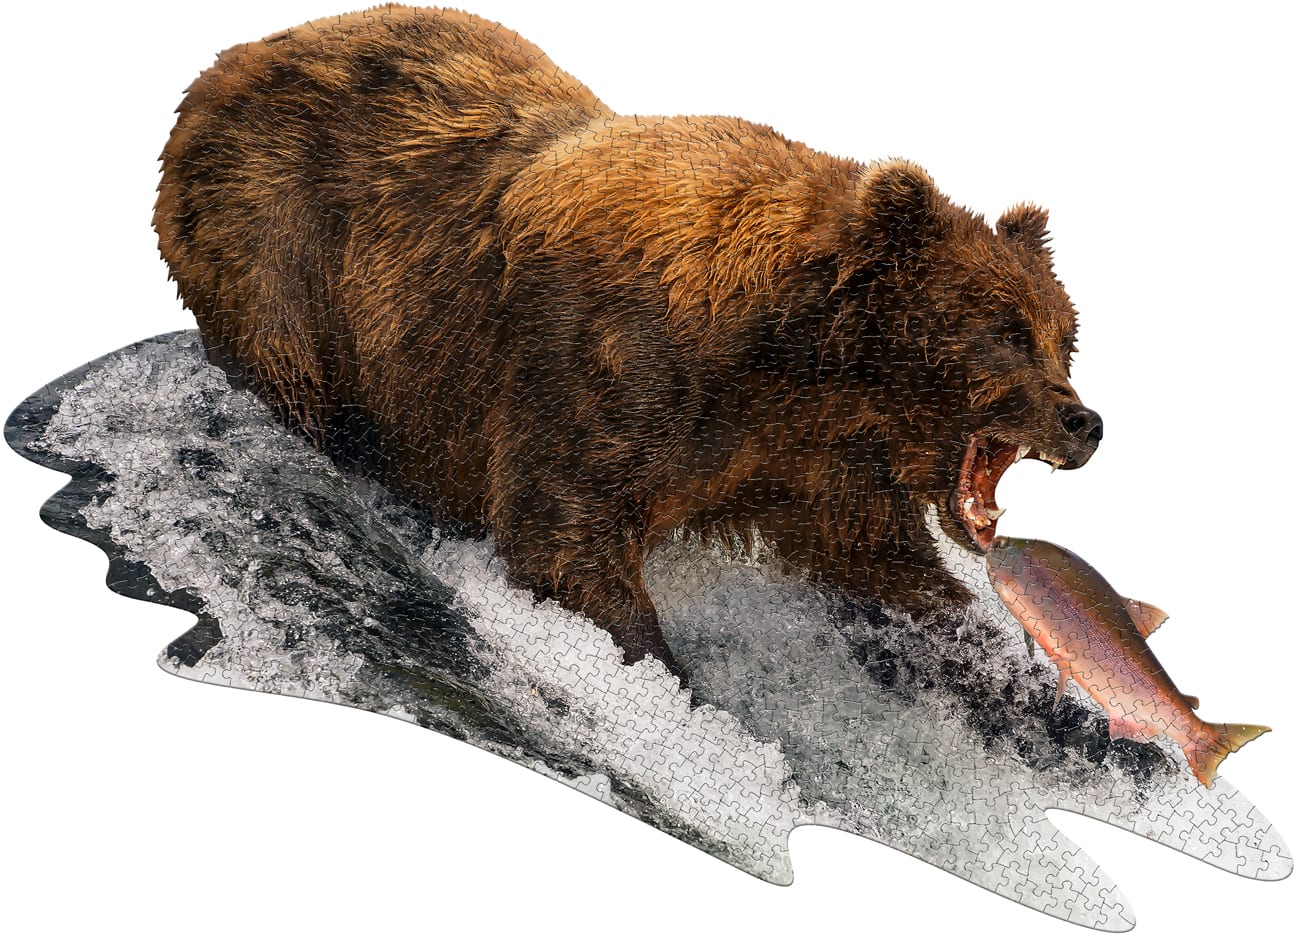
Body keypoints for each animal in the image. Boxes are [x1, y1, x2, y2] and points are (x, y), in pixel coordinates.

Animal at [154, 5, 1103, 679]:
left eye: (1065, 338)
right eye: (1004, 331)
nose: (1083, 422)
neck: (793, 361)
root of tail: (231, 58)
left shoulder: (805, 461)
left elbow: (888, 567)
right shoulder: (606, 368)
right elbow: (566, 535)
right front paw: (671, 680)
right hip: (276, 241)